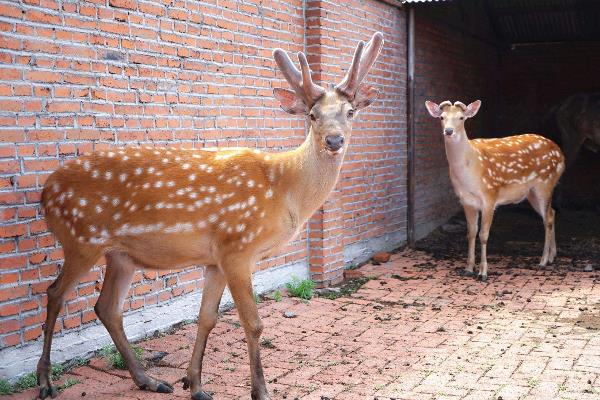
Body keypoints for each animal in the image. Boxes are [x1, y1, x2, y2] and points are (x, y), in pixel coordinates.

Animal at [36, 32, 384, 398]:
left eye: (351, 111)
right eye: (313, 115)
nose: (334, 140)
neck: (283, 190)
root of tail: (46, 192)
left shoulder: (215, 258)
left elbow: (207, 317)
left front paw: (194, 383)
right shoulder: (237, 246)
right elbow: (253, 322)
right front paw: (260, 390)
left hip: (121, 255)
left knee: (107, 307)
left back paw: (148, 379)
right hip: (81, 238)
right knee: (55, 293)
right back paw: (45, 381)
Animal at [424, 100, 564, 282]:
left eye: (461, 117)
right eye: (442, 117)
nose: (448, 131)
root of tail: (561, 155)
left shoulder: (490, 195)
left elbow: (483, 235)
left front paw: (483, 272)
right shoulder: (466, 200)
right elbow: (471, 233)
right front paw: (468, 268)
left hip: (545, 183)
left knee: (547, 219)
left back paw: (543, 260)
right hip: (532, 192)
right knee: (552, 213)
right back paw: (553, 256)